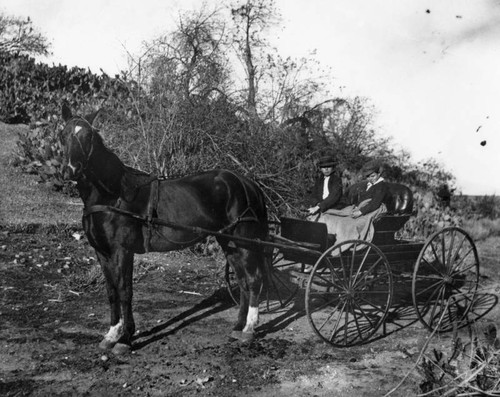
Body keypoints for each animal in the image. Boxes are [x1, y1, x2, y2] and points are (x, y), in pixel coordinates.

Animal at [61, 103, 270, 354]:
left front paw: (125, 339)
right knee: (243, 282)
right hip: (229, 243)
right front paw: (111, 334)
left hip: (244, 243)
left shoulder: (123, 251)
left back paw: (248, 330)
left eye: (88, 136)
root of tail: (247, 183)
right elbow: (111, 292)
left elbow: (125, 291)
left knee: (254, 279)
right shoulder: (102, 252)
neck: (113, 195)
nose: (71, 170)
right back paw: (238, 327)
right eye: (62, 134)